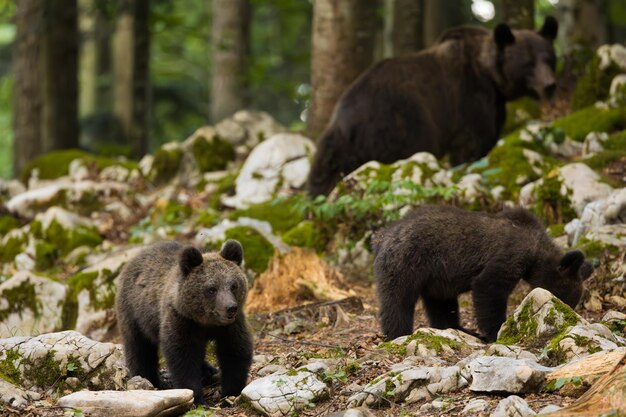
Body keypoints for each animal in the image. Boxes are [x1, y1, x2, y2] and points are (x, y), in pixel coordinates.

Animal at [308, 17, 556, 196]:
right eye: (528, 62)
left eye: (549, 58)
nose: (550, 85)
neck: (491, 77)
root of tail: (343, 123)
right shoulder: (470, 99)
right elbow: (471, 144)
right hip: (398, 122)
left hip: (333, 153)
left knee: (320, 180)